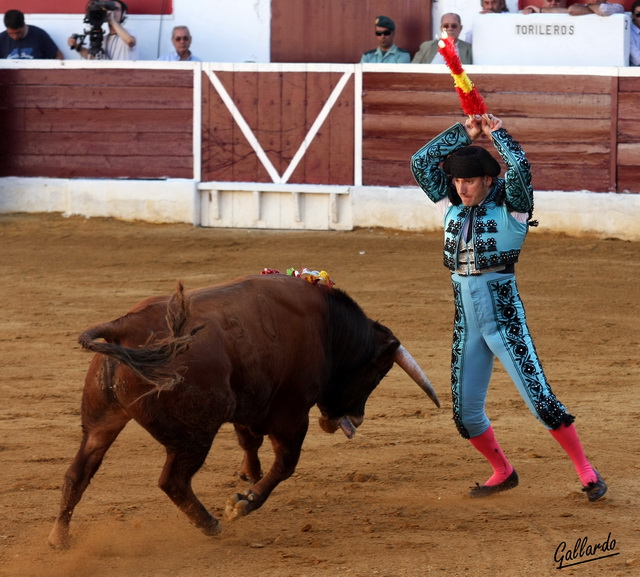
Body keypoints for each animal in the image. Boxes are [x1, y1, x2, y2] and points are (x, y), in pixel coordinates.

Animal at [48, 272, 440, 548]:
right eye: (377, 373)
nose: (356, 418)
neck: (328, 327)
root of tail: (125, 326)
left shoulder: (251, 401)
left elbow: (248, 440)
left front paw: (248, 474)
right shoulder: (291, 412)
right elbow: (285, 464)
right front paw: (243, 502)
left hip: (101, 421)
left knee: (77, 472)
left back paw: (59, 538)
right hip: (194, 435)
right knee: (172, 481)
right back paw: (210, 523)